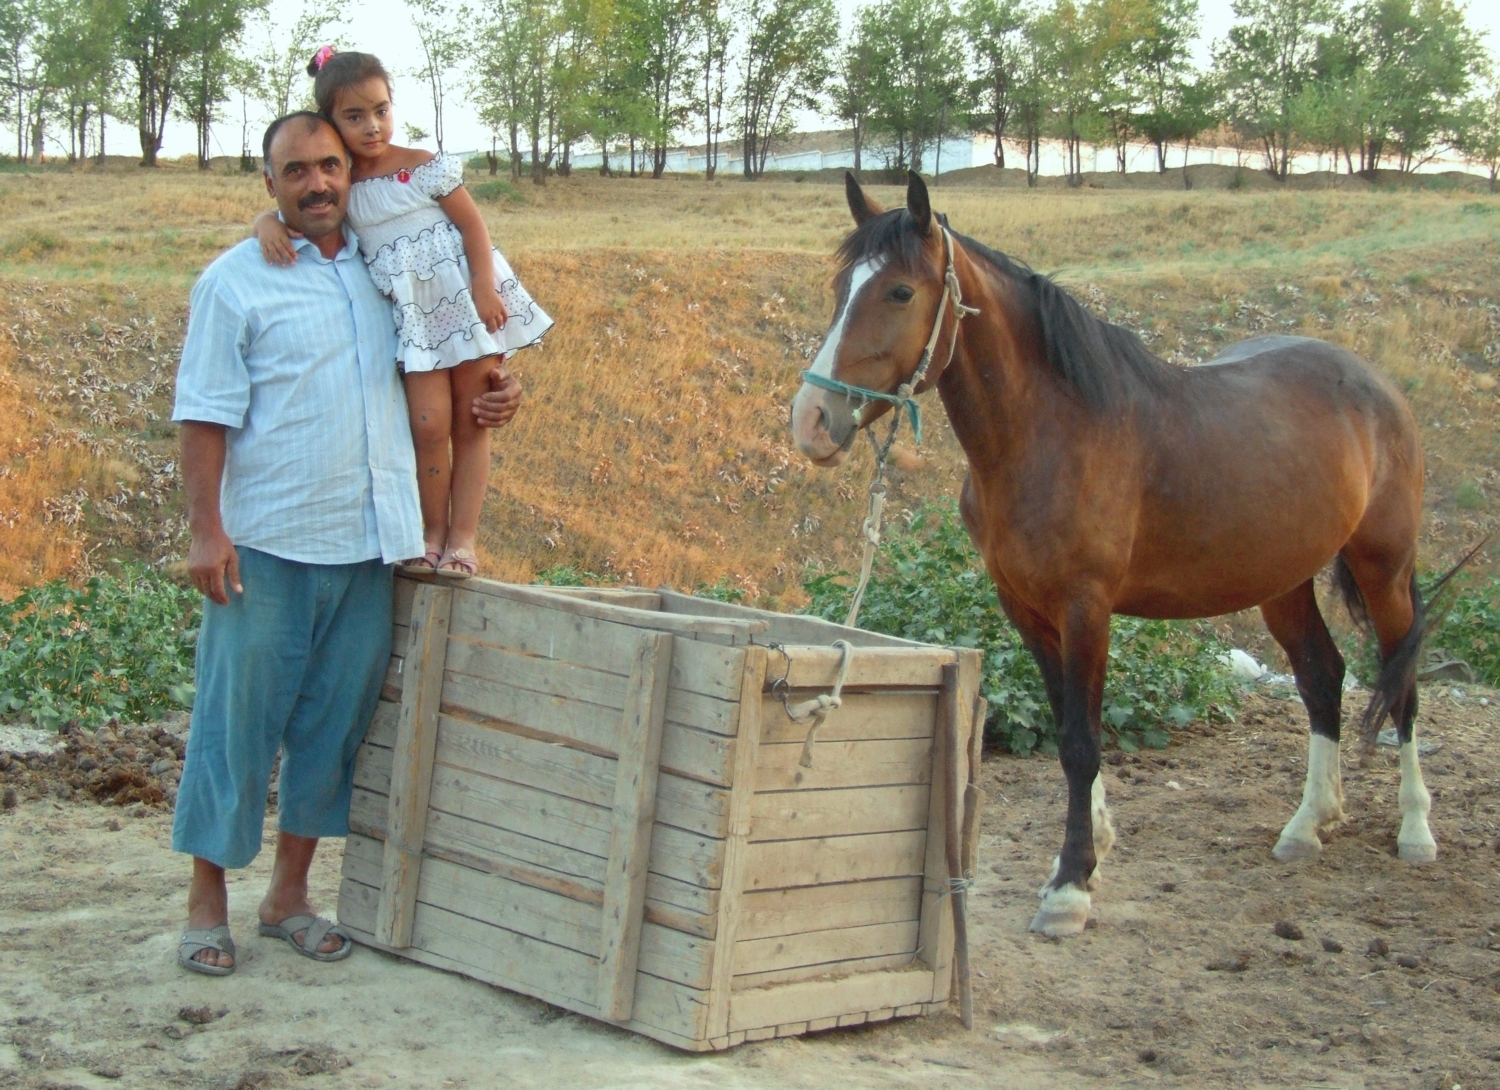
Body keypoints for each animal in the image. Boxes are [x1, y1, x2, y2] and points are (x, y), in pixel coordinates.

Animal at [792, 172, 1470, 935]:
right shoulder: (1026, 610)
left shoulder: (1087, 608)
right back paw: (1308, 825)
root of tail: (1377, 385)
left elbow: (1082, 742)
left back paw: (1416, 830)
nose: (811, 422)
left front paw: (1070, 888)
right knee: (1322, 679)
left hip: (1386, 571)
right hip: (1283, 582)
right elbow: (1067, 728)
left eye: (900, 292)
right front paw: (1095, 847)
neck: (1056, 432)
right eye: (842, 286)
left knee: (1401, 681)